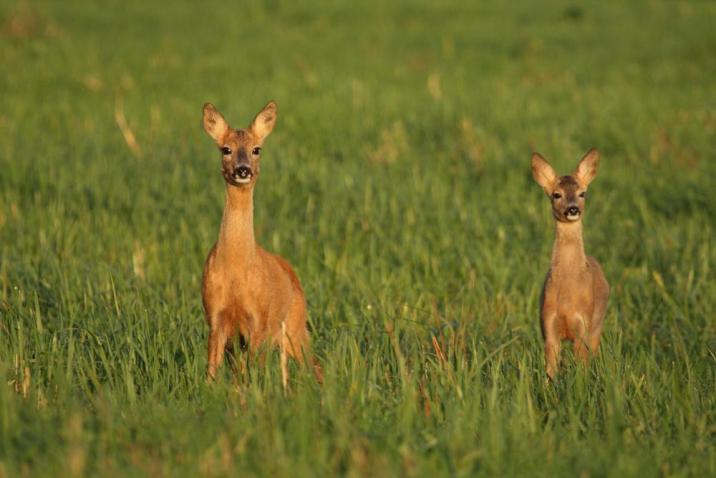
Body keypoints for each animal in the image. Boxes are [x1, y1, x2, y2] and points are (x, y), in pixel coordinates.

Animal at [200, 101, 320, 388]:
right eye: (226, 149)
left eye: (257, 149)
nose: (243, 169)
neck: (235, 270)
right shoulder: (215, 316)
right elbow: (214, 371)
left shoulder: (259, 320)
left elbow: (249, 373)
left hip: (295, 327)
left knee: (313, 365)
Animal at [532, 148, 608, 380]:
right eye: (556, 194)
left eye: (583, 193)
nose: (573, 209)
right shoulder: (548, 326)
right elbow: (550, 371)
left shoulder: (583, 326)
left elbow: (582, 368)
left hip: (597, 323)